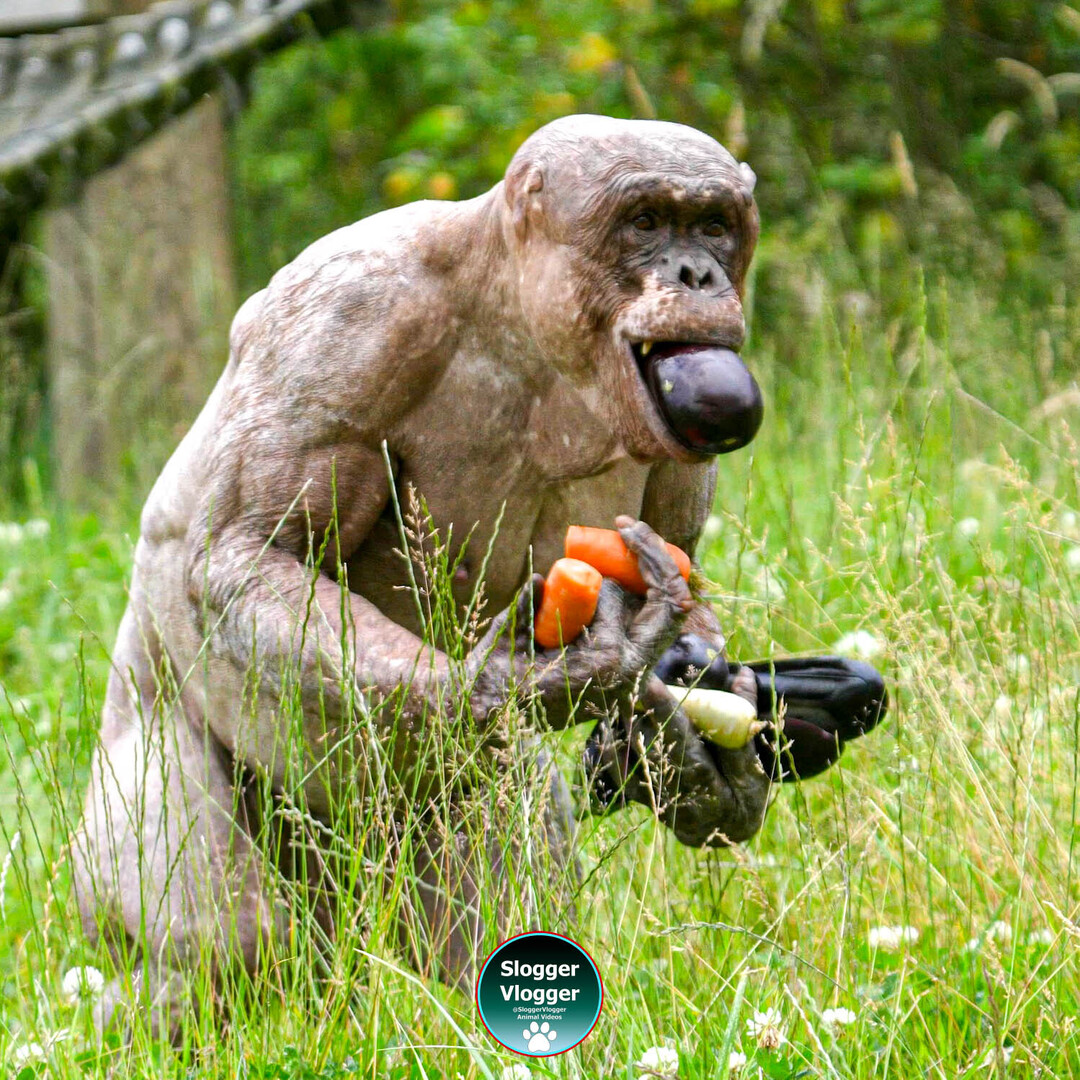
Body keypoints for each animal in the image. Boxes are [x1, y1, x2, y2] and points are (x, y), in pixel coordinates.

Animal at [70, 114, 885, 1037]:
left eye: (713, 225)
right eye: (646, 221)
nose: (697, 273)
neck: (525, 327)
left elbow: (683, 575)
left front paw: (700, 753)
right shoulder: (344, 314)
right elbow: (247, 549)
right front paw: (538, 676)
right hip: (160, 781)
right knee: (222, 946)